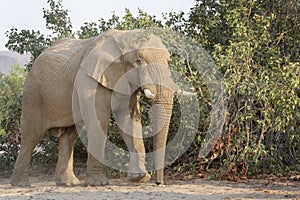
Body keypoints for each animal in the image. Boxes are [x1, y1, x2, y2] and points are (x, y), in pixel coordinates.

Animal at [9, 28, 195, 187]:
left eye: (169, 61)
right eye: (138, 61)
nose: (159, 183)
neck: (121, 39)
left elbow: (129, 122)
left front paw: (140, 178)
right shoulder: (89, 80)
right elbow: (100, 120)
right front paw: (98, 183)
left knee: (69, 135)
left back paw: (68, 183)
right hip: (33, 92)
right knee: (32, 135)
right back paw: (21, 184)